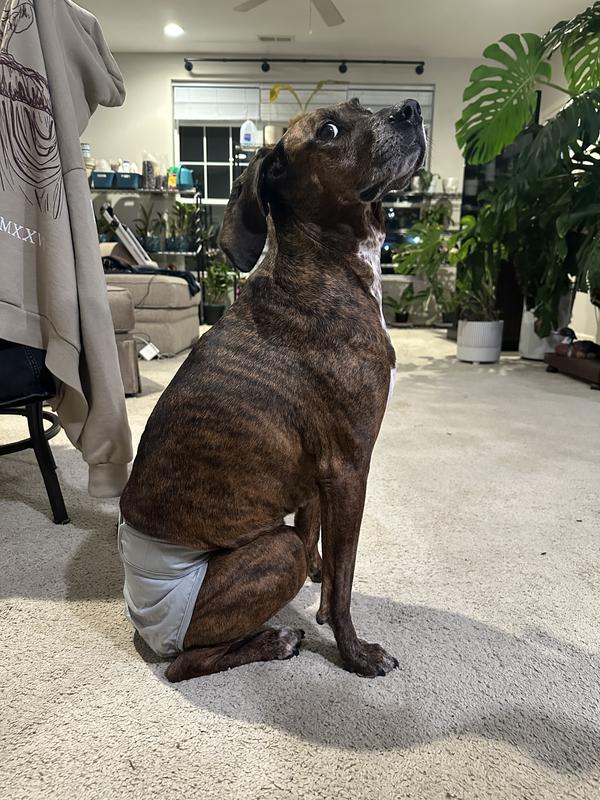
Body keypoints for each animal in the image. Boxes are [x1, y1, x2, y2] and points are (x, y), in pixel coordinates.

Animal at [119, 97, 426, 681]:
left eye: (358, 106)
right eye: (328, 131)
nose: (411, 109)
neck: (323, 267)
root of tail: (141, 619)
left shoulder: (317, 479)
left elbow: (320, 547)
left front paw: (321, 585)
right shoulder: (349, 468)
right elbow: (344, 580)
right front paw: (355, 654)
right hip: (270, 554)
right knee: (184, 664)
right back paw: (275, 641)